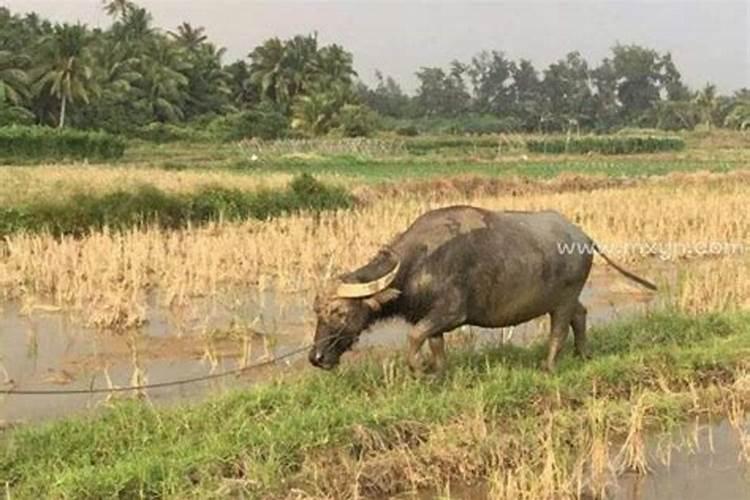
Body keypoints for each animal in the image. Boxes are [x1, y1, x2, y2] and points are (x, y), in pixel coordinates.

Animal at [308, 205, 656, 374]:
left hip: (563, 299)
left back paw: (549, 366)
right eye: (317, 313)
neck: (417, 264)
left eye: (340, 312)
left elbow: (414, 337)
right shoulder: (433, 318)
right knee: (580, 315)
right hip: (564, 297)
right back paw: (583, 354)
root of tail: (583, 237)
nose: (316, 357)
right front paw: (438, 372)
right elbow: (434, 344)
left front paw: (419, 369)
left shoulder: (451, 313)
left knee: (559, 328)